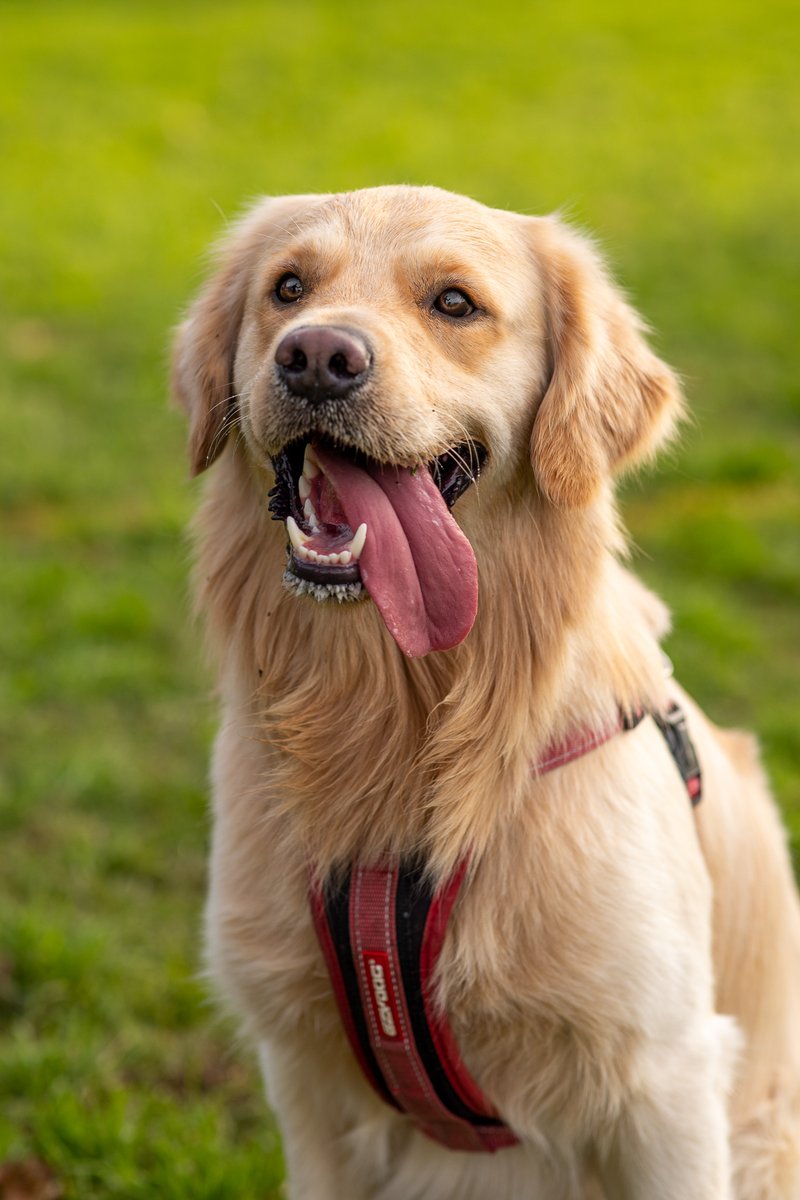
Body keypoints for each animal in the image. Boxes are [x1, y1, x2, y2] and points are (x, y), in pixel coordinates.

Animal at [173, 187, 800, 1200]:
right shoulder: (304, 1079)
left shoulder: (665, 1080)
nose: (316, 357)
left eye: (455, 304)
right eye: (288, 288)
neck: (402, 715)